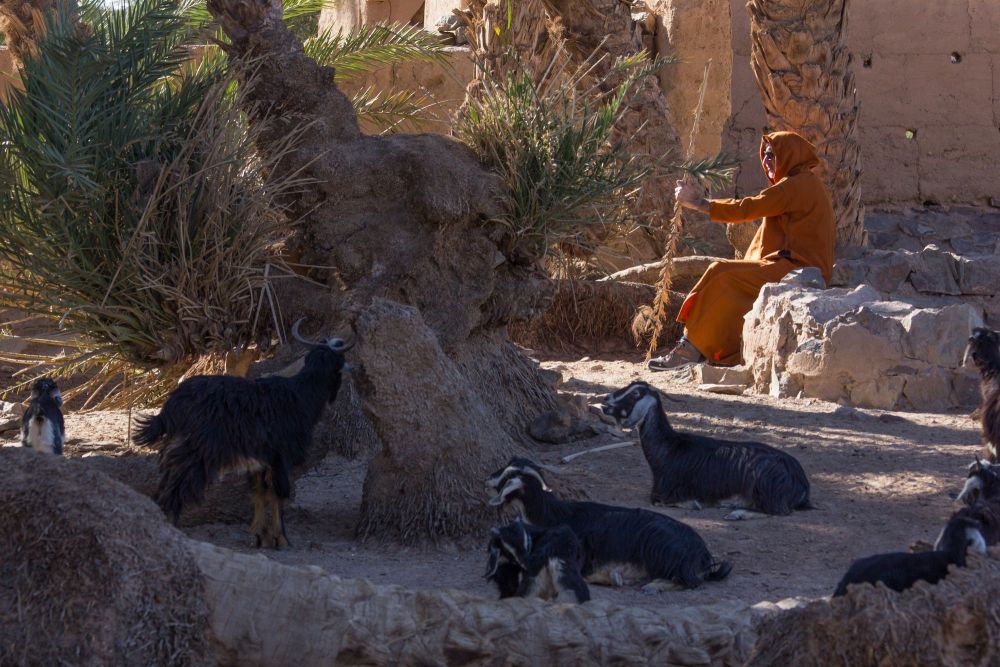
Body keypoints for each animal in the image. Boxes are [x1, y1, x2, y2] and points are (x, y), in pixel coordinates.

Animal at [134, 318, 352, 548]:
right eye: (340, 360)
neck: (302, 393)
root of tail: (172, 406)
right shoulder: (281, 457)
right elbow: (279, 494)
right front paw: (281, 538)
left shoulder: (261, 462)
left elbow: (259, 494)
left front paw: (259, 535)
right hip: (195, 454)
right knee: (176, 490)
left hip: (175, 450)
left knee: (164, 486)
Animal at [486, 458, 732, 593]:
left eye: (508, 477)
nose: (488, 477)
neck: (551, 516)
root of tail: (701, 554)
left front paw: (613, 577)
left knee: (690, 581)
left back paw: (653, 586)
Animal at [600, 381, 811, 520]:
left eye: (635, 394)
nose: (606, 401)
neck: (670, 447)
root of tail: (800, 481)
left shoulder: (664, 493)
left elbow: (664, 501)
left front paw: (694, 504)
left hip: (766, 487)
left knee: (779, 511)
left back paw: (737, 512)